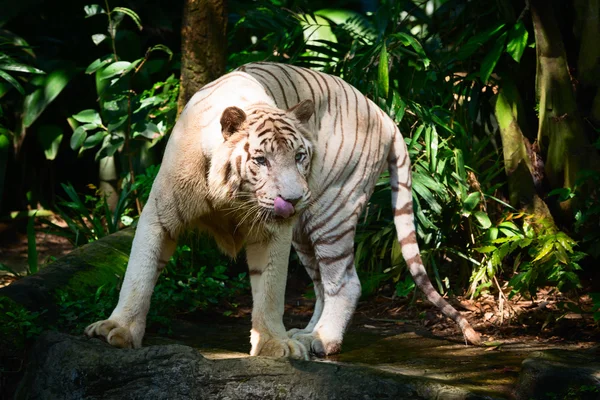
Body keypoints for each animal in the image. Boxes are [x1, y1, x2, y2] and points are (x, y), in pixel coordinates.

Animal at [84, 63, 480, 360]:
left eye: (300, 156)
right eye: (261, 160)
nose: (293, 198)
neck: (232, 196)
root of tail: (383, 113)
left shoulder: (273, 231)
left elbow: (271, 290)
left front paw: (274, 345)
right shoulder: (160, 214)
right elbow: (139, 273)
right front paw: (118, 330)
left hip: (331, 212)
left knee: (345, 282)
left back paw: (321, 340)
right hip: (306, 230)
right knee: (322, 285)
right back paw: (307, 332)